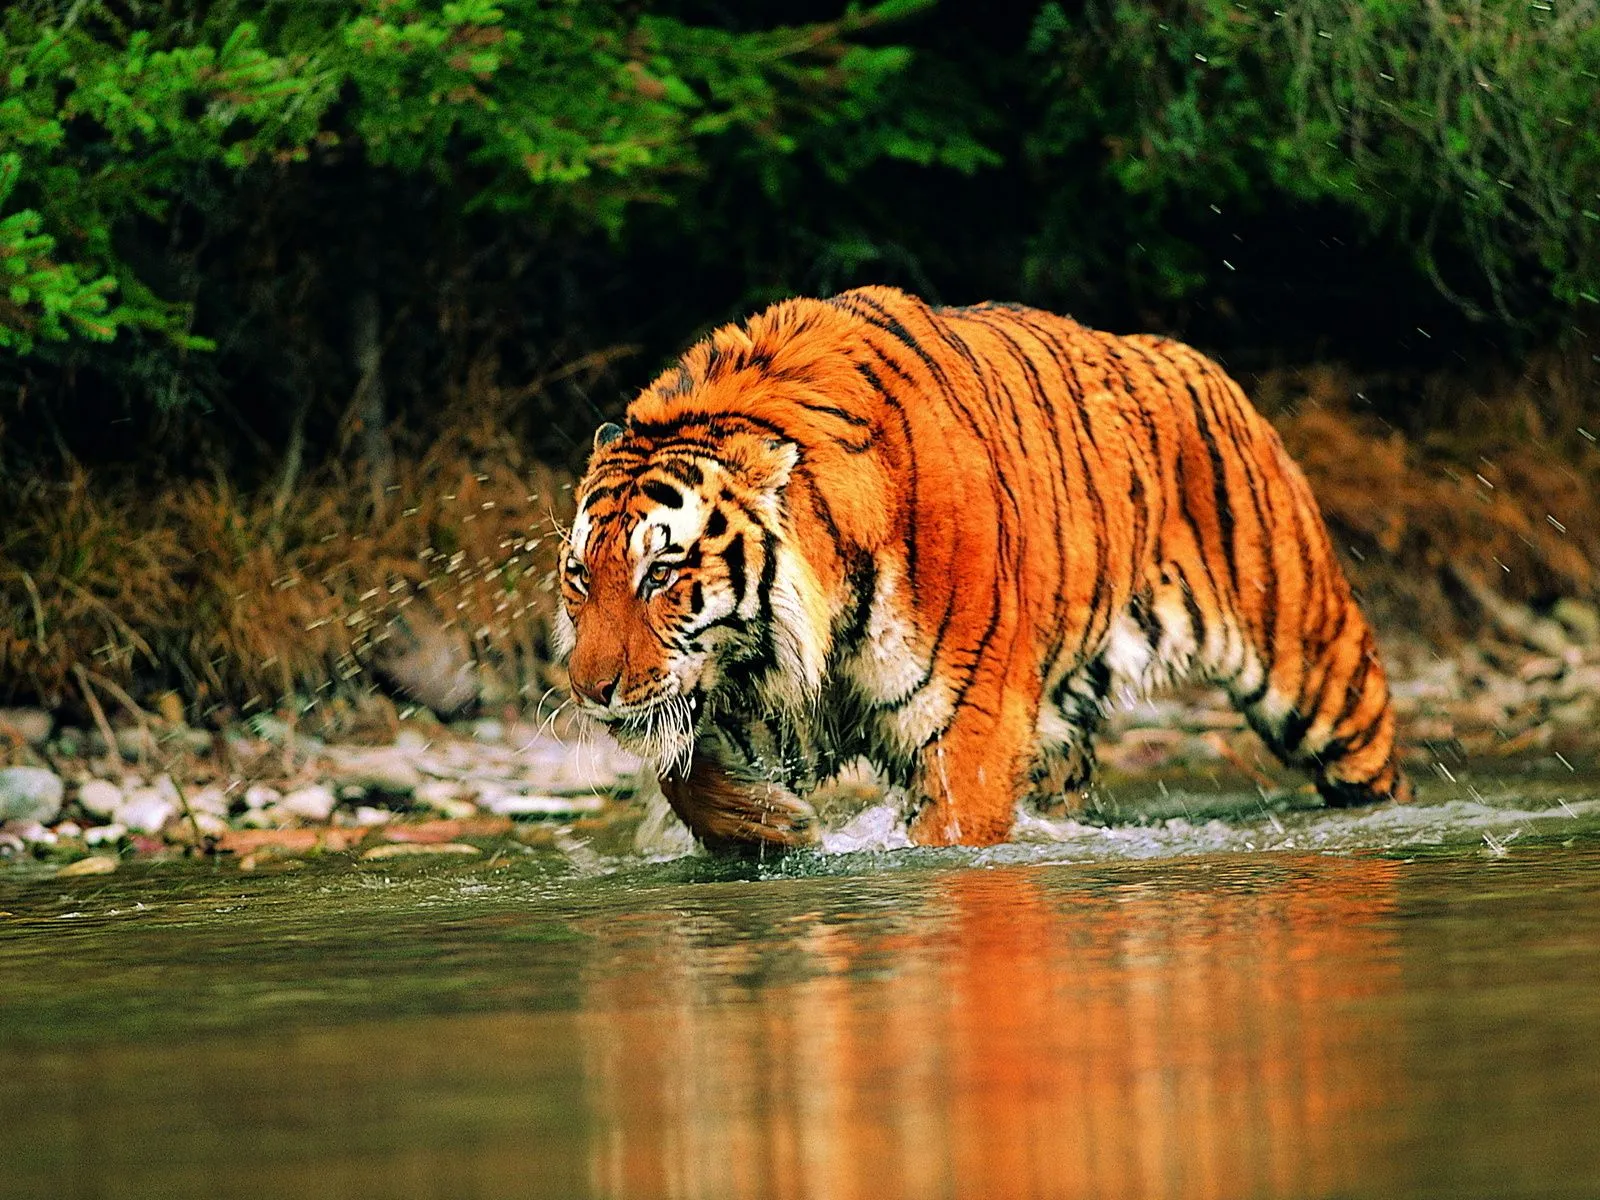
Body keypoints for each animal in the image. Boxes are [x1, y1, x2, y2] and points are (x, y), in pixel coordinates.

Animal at [553, 284, 1414, 851]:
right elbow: (684, 775)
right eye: (581, 578)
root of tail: (1199, 363)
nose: (590, 691)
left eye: (661, 575)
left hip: (1319, 671)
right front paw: (773, 826)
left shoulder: (968, 726)